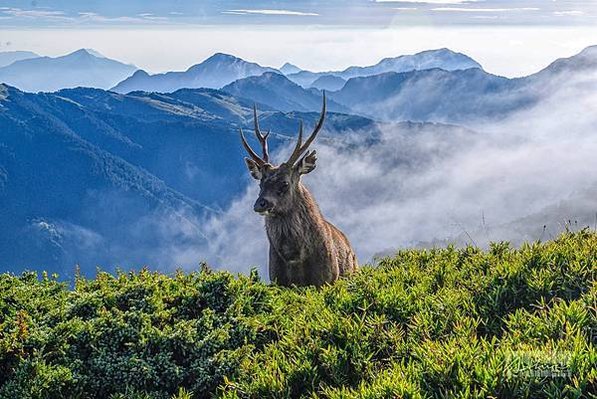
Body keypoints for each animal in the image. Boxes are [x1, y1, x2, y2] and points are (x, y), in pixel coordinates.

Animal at [239, 94, 358, 288]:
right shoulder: (277, 280)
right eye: (260, 184)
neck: (294, 258)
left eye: (285, 183)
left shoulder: (326, 280)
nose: (260, 204)